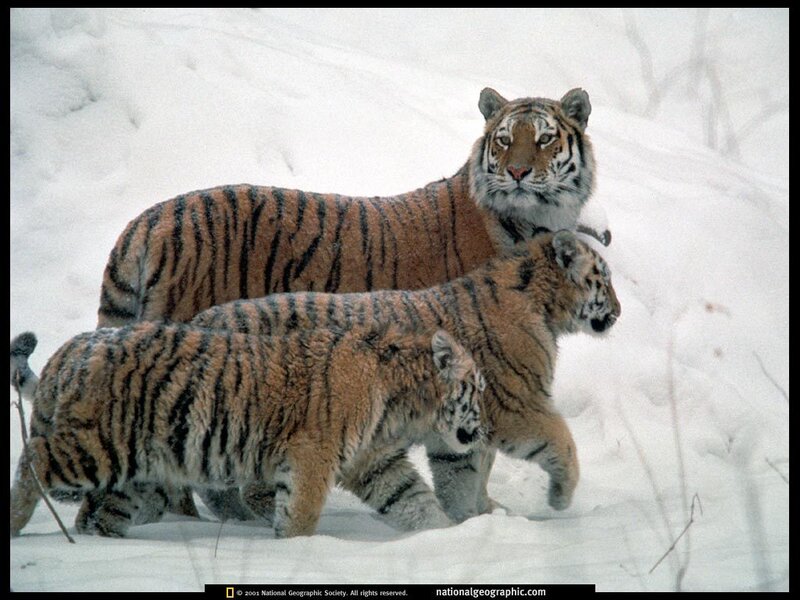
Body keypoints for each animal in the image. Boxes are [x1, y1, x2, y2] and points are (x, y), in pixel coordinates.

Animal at [9, 323, 485, 538]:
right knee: (35, 457)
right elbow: (299, 513)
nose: (483, 431)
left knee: (98, 514)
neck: (402, 403)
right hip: (102, 446)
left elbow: (414, 500)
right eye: (478, 388)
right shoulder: (312, 457)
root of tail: (71, 349)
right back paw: (16, 525)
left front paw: (446, 535)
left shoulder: (375, 461)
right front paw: (296, 548)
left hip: (132, 475)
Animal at [190, 230, 620, 525]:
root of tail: (200, 318)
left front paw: (477, 516)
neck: (544, 308)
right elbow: (561, 440)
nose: (618, 312)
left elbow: (466, 475)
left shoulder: (465, 428)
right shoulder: (516, 407)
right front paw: (559, 498)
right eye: (603, 277)